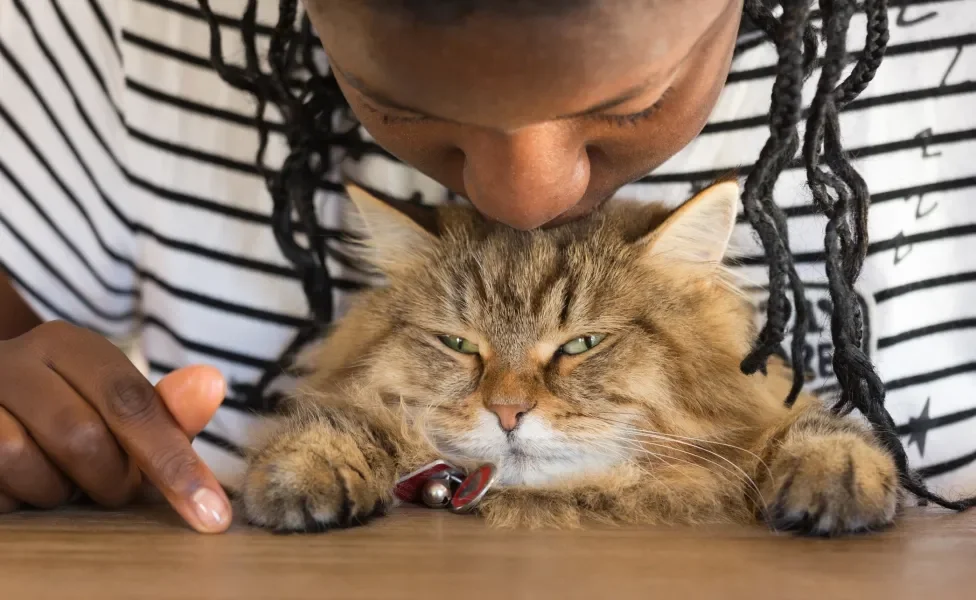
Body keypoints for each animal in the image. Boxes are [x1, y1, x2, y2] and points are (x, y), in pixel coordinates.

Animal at [242, 183, 900, 536]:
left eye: (581, 345)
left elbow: (816, 431)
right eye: (459, 345)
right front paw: (305, 471)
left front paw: (836, 477)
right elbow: (336, 423)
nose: (508, 413)